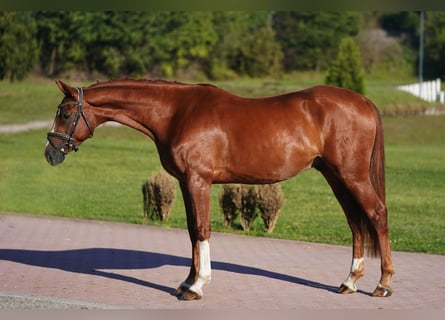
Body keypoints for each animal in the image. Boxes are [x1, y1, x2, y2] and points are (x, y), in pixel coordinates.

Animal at [44, 79, 392, 300]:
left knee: (376, 214)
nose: (51, 153)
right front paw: (186, 283)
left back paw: (383, 284)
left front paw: (198, 286)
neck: (176, 113)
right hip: (335, 175)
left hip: (352, 175)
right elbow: (190, 231)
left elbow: (202, 229)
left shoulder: (198, 180)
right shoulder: (185, 182)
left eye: (65, 113)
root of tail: (364, 102)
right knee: (355, 221)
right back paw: (349, 282)